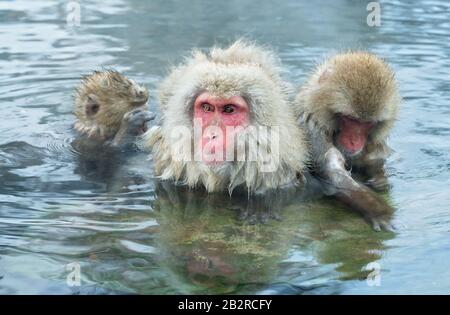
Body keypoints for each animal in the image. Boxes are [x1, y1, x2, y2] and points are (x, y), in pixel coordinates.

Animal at [296, 51, 400, 232]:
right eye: (351, 119)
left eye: (367, 123)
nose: (354, 141)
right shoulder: (312, 129)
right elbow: (333, 174)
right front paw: (378, 209)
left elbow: (375, 159)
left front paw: (380, 179)